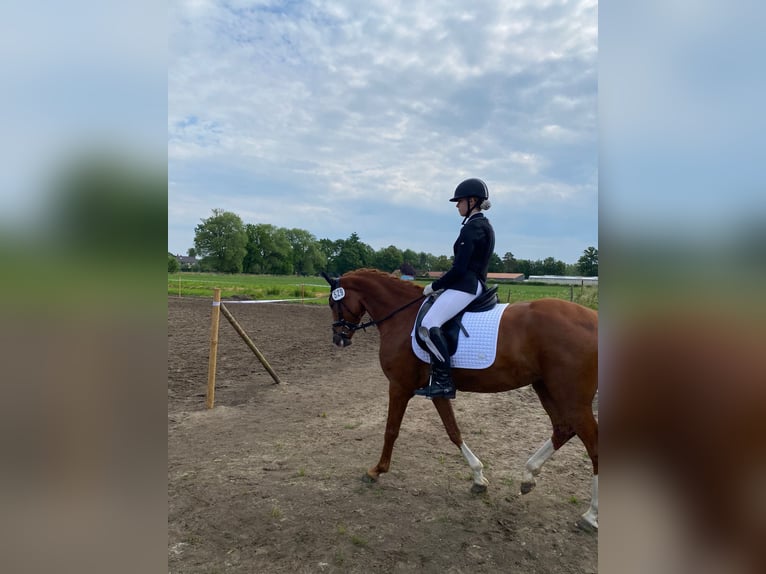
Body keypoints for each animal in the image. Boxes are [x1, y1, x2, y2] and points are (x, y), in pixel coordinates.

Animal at [321, 268, 599, 530]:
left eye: (333, 303)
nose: (338, 339)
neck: (402, 318)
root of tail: (594, 319)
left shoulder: (399, 386)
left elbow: (391, 430)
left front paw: (376, 470)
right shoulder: (437, 390)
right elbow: (453, 430)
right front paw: (478, 479)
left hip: (572, 398)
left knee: (592, 442)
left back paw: (590, 515)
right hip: (546, 389)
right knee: (563, 429)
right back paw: (528, 477)